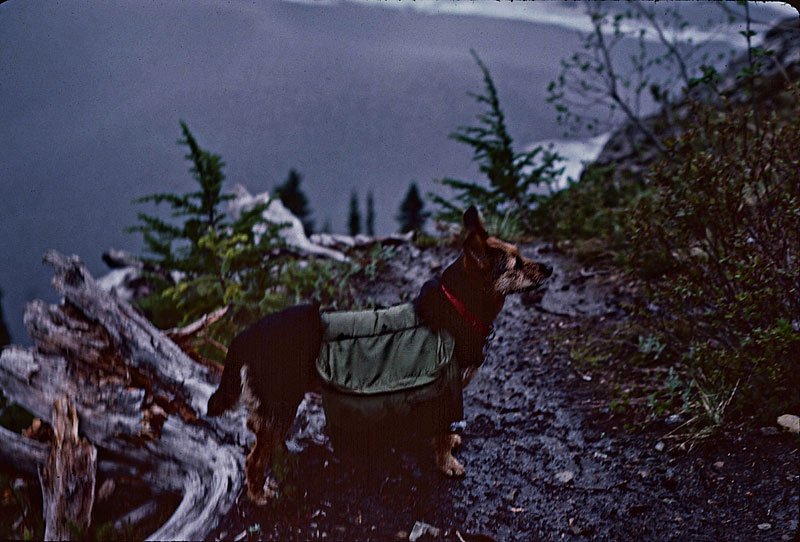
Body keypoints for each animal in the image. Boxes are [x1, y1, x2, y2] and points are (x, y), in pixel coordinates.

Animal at [206, 207, 552, 506]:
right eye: (516, 263)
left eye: (521, 253)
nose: (549, 267)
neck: (458, 307)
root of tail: (247, 334)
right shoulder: (446, 391)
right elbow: (440, 434)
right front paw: (447, 463)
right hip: (281, 403)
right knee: (253, 459)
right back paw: (259, 495)